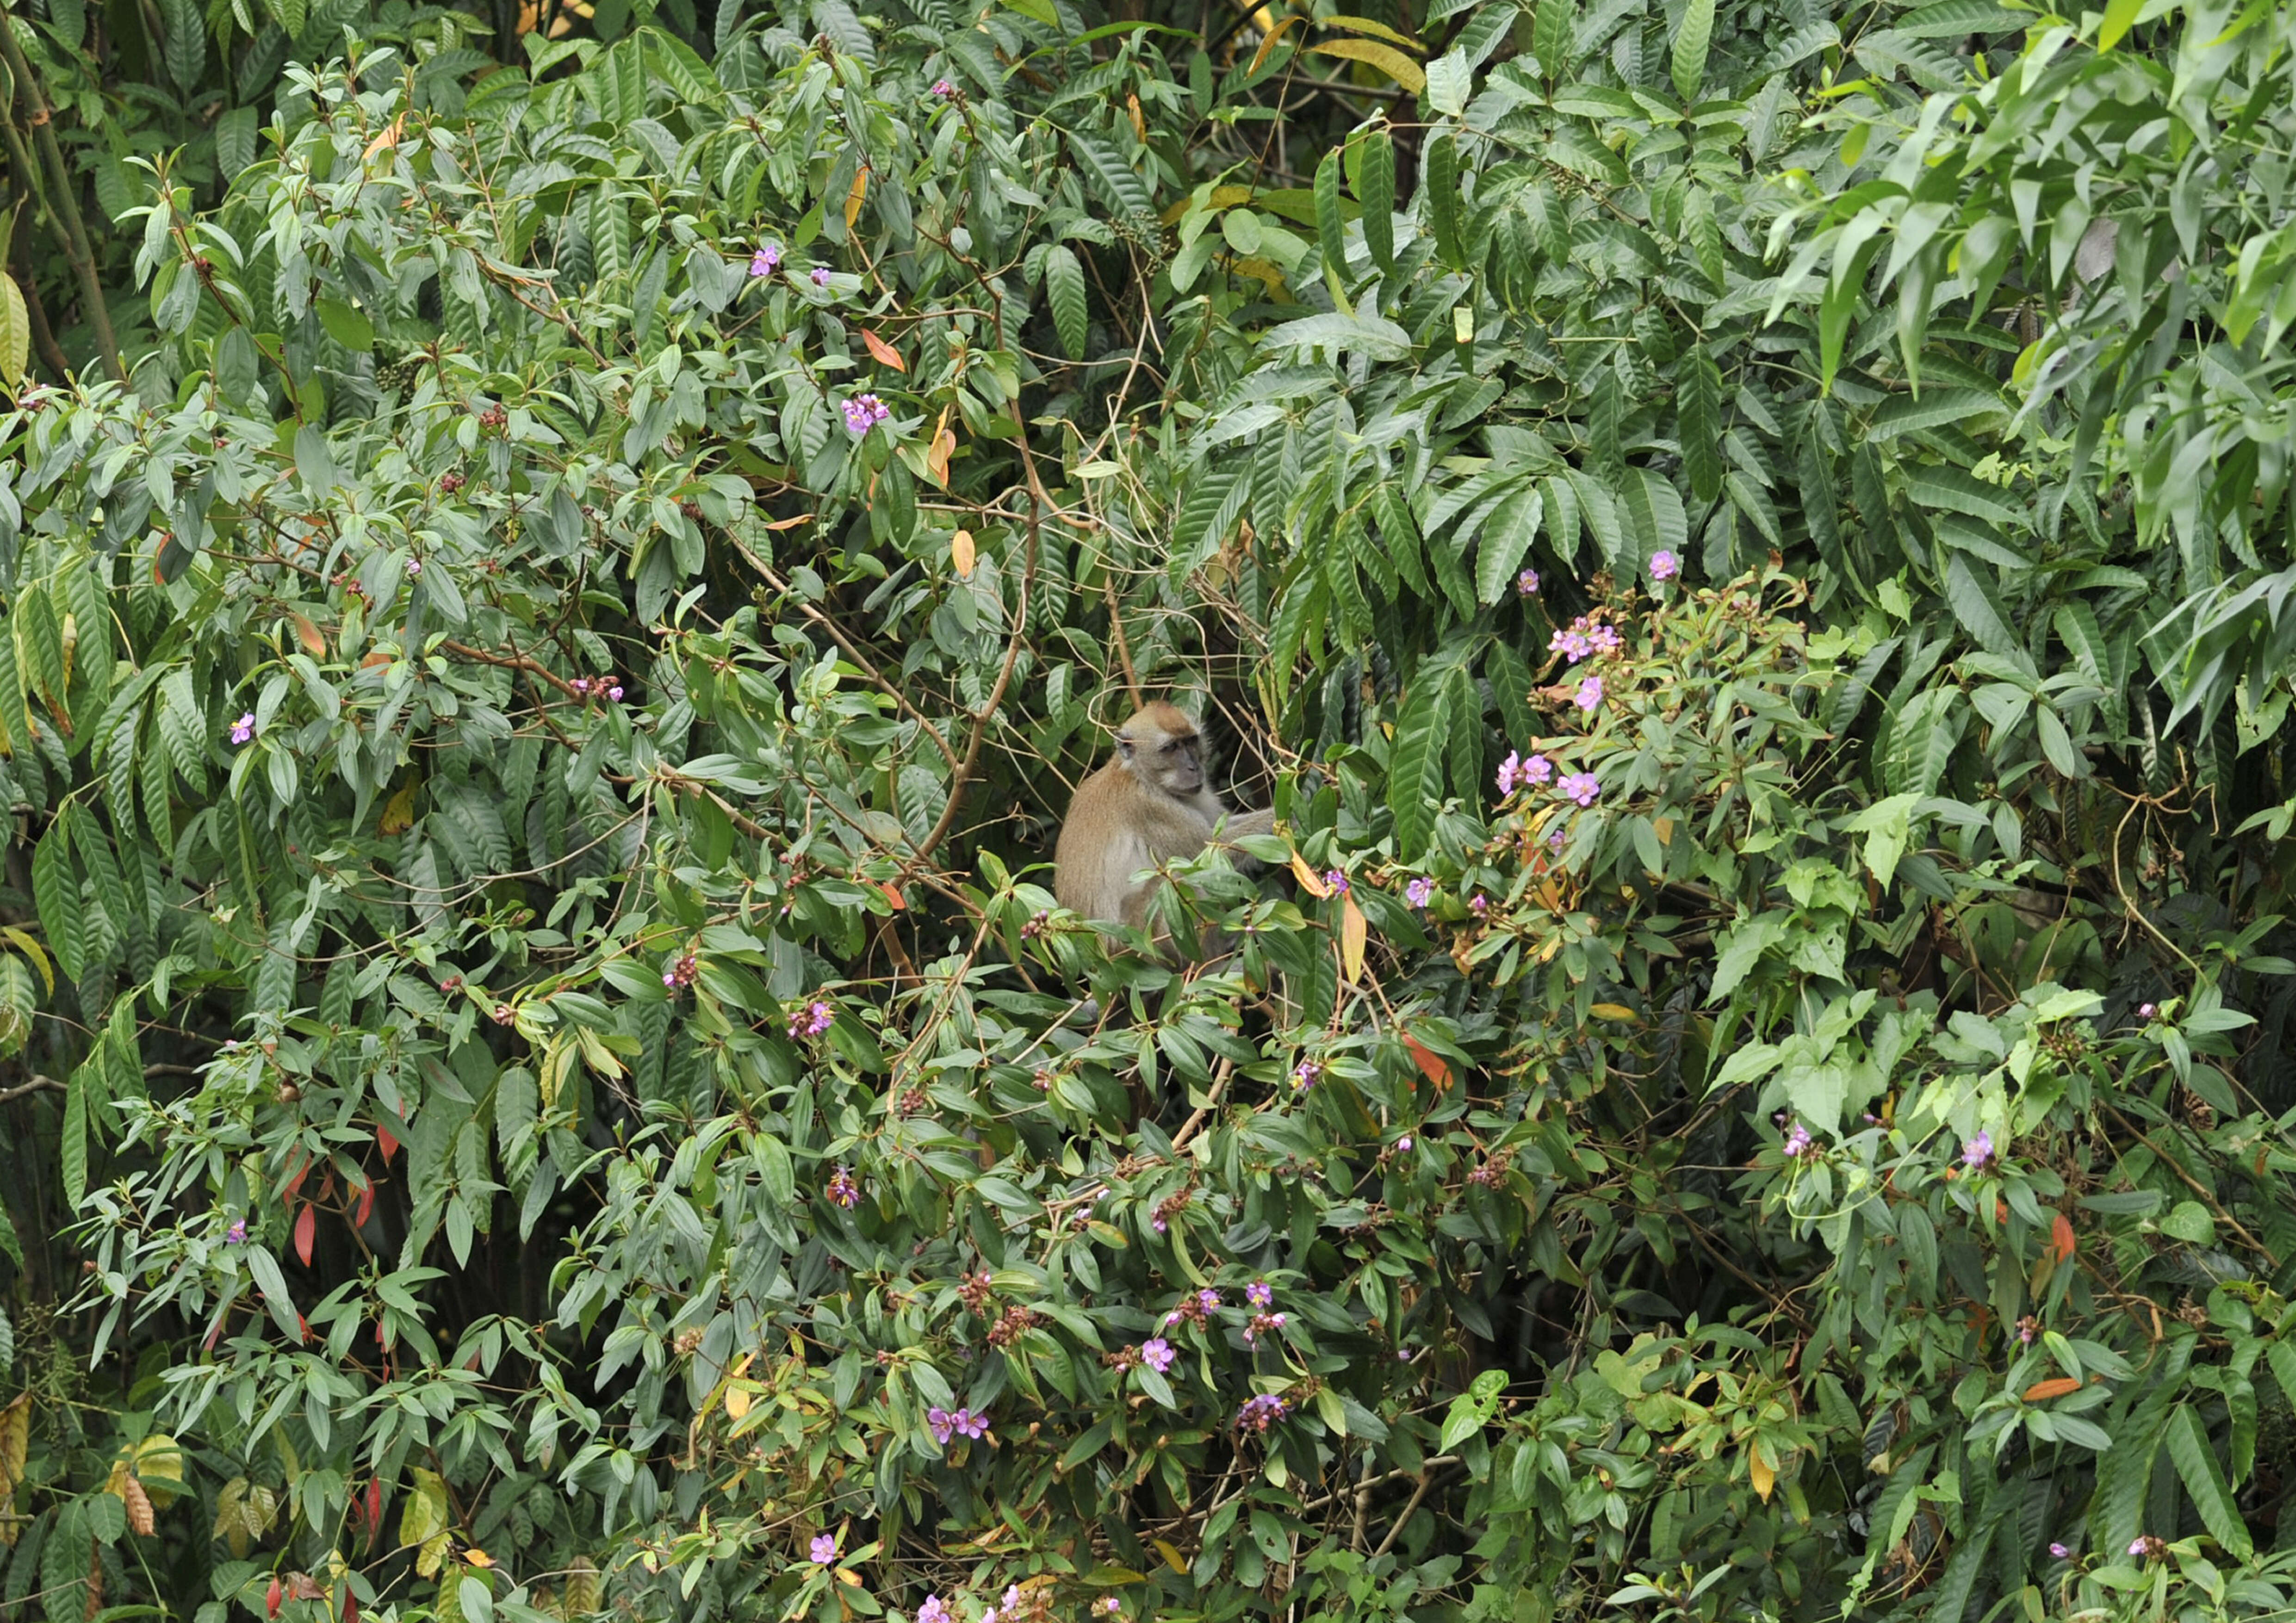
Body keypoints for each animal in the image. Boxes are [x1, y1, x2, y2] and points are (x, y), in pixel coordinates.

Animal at [1051, 702, 1276, 941]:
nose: (1194, 768)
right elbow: (1208, 852)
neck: (1141, 775)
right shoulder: (1150, 808)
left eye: (1190, 741)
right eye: (1171, 748)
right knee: (1177, 874)